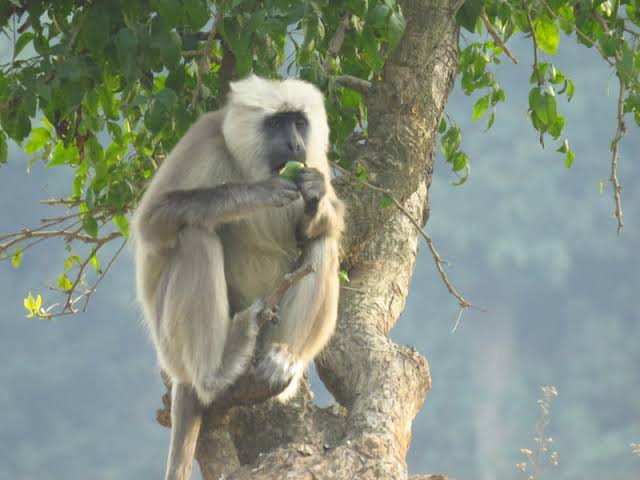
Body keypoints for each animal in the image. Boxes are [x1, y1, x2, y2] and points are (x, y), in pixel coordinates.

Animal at [132, 75, 344, 480]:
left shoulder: (315, 161)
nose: (294, 144)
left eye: (298, 122)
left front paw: (315, 195)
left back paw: (284, 357)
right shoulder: (205, 137)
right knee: (195, 235)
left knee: (322, 243)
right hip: (171, 344)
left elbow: (326, 224)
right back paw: (216, 373)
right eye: (275, 124)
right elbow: (151, 222)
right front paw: (255, 194)